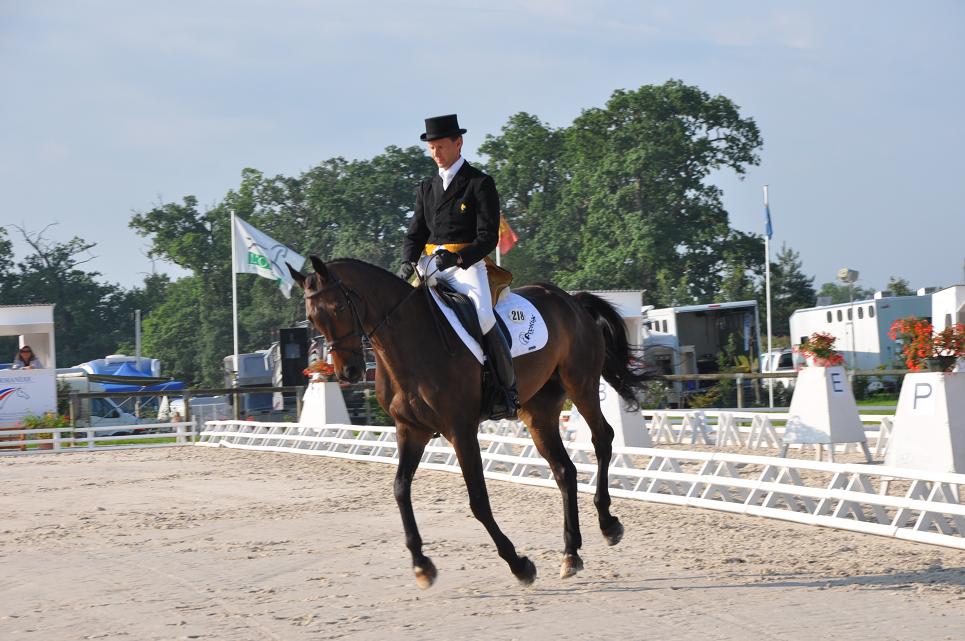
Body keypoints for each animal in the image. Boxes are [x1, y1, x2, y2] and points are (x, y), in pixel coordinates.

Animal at [286, 255, 648, 584]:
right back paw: (571, 553)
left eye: (338, 308)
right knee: (564, 470)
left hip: (581, 384)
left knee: (602, 438)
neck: (409, 342)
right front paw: (422, 564)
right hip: (538, 411)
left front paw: (519, 564)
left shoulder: (460, 430)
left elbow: (478, 501)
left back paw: (608, 524)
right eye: (312, 318)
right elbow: (400, 489)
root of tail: (570, 299)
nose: (348, 372)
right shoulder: (410, 430)